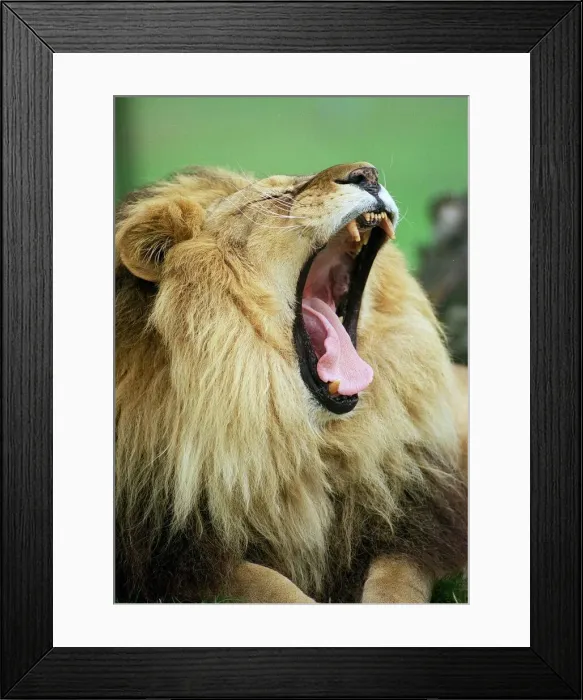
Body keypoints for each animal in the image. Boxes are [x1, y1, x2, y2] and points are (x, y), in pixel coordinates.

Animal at [115, 162, 468, 603]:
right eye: (274, 197)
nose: (367, 174)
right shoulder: (172, 555)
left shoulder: (412, 522)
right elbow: (265, 584)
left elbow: (396, 579)